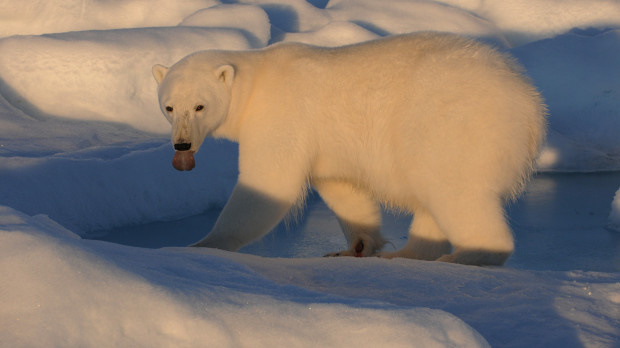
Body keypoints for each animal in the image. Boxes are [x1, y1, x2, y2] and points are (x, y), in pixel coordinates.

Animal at [153, 33, 544, 266]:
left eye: (200, 106)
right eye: (169, 106)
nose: (182, 144)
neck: (254, 84)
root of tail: (530, 107)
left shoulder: (281, 115)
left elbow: (268, 183)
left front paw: (201, 245)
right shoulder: (325, 146)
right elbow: (342, 188)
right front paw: (357, 245)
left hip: (454, 128)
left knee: (455, 191)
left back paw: (466, 256)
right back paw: (407, 253)